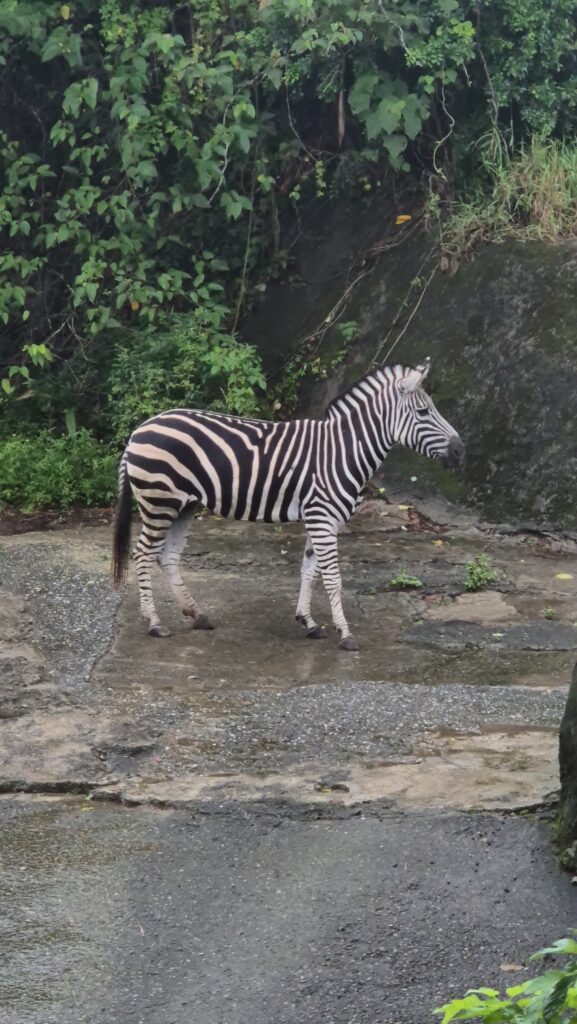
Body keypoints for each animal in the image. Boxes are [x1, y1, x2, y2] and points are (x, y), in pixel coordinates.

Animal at [112, 357, 464, 651]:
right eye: (423, 413)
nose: (461, 450)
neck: (343, 450)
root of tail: (139, 429)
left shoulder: (320, 518)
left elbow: (310, 570)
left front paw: (308, 622)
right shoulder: (322, 517)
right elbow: (332, 577)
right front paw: (346, 633)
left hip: (183, 505)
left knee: (167, 556)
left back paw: (197, 614)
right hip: (160, 502)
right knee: (143, 554)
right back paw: (154, 623)